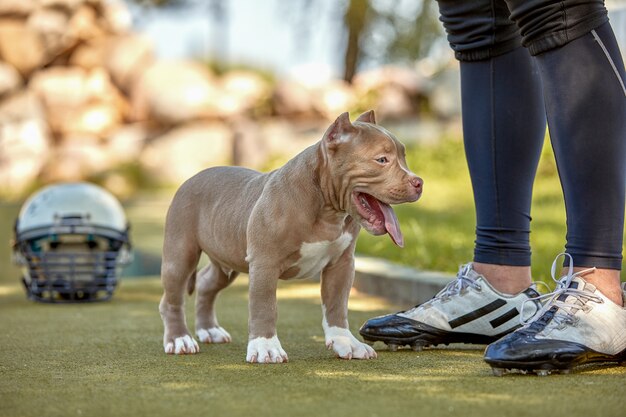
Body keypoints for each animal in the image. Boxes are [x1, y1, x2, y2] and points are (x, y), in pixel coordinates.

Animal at [158, 110, 422, 360]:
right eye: (381, 160)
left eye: (403, 157)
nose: (419, 182)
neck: (326, 208)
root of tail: (193, 177)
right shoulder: (264, 263)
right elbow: (265, 306)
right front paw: (266, 348)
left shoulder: (341, 264)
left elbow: (337, 306)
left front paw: (345, 342)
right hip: (180, 253)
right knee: (172, 299)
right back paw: (180, 339)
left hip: (226, 260)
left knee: (205, 282)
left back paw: (209, 330)